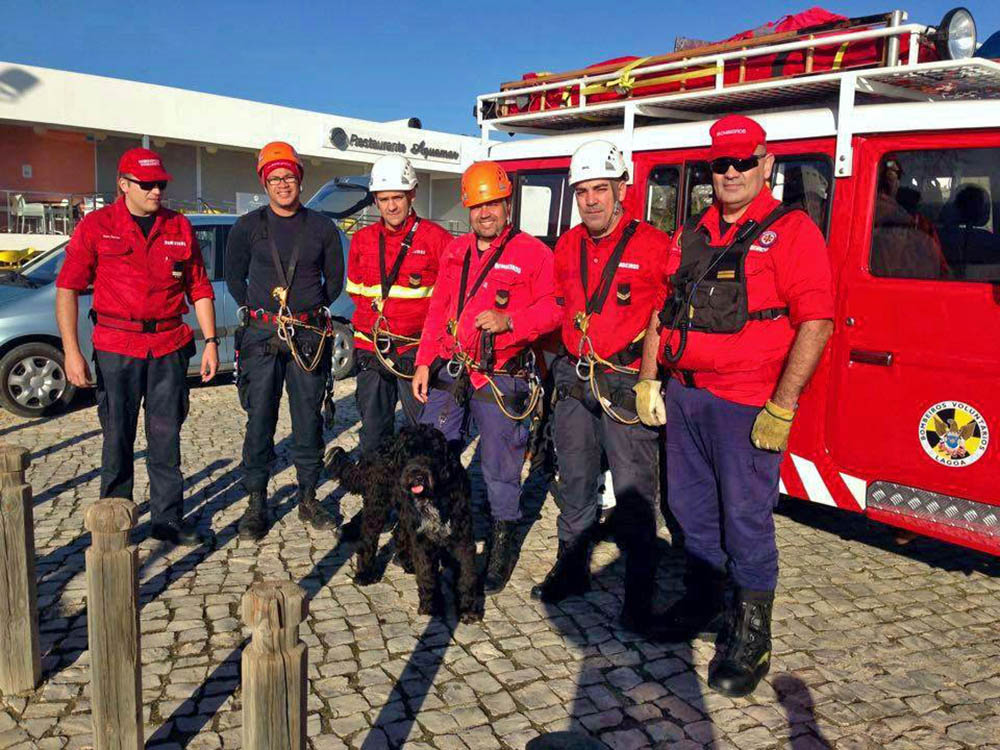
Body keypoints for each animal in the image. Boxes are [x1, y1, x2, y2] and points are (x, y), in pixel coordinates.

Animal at [324, 426, 480, 624]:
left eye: (432, 453)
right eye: (408, 454)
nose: (418, 476)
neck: (433, 496)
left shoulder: (462, 537)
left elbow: (467, 575)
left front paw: (468, 609)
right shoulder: (422, 538)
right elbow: (426, 573)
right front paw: (430, 606)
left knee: (399, 532)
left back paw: (406, 560)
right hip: (378, 502)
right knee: (369, 537)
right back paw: (365, 573)